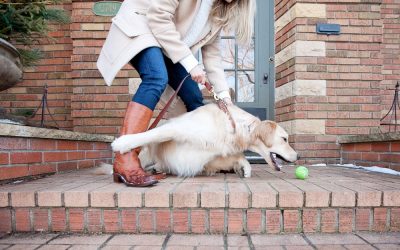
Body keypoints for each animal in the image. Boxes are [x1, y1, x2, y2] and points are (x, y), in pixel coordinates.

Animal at [111, 102, 298, 177]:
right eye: (284, 139)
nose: (298, 156)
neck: (232, 127)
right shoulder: (176, 128)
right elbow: (152, 135)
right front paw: (122, 142)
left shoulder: (206, 157)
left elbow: (237, 157)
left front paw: (245, 168)